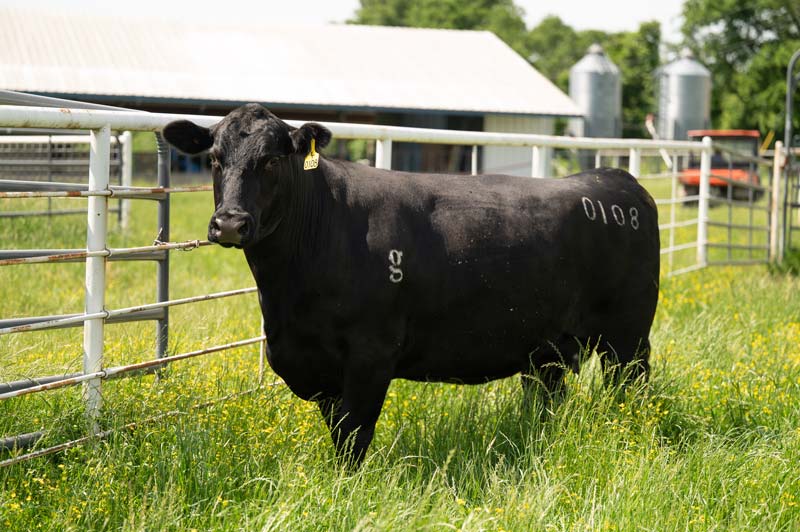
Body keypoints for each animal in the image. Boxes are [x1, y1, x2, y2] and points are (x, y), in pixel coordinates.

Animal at [162, 104, 660, 467]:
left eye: (270, 160)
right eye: (214, 160)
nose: (230, 222)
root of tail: (614, 178)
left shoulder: (370, 355)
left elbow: (354, 436)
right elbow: (338, 431)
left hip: (628, 337)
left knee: (630, 391)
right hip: (546, 350)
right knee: (546, 400)